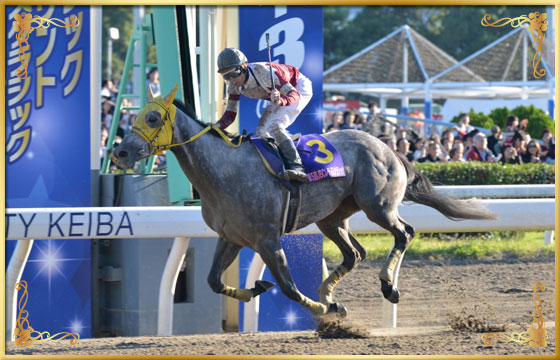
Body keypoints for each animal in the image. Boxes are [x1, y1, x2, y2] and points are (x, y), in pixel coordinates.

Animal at [114, 86, 494, 320]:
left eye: (152, 118)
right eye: (135, 116)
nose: (121, 152)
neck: (224, 172)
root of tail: (390, 148)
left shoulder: (267, 239)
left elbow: (288, 287)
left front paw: (324, 310)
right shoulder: (232, 237)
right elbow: (213, 281)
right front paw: (259, 288)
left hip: (379, 206)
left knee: (405, 232)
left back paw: (388, 286)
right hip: (332, 217)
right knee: (354, 253)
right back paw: (328, 292)